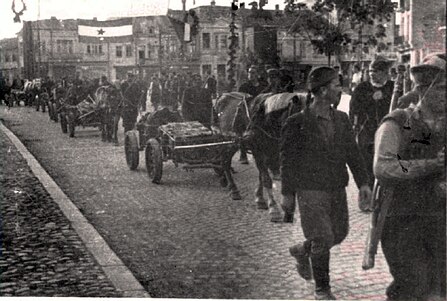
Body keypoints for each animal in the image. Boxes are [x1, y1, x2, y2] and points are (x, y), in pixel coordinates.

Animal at [214, 91, 306, 220]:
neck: (265, 120)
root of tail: (222, 96)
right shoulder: (258, 151)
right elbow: (266, 179)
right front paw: (273, 208)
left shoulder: (273, 152)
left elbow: (261, 176)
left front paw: (260, 199)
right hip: (227, 142)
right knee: (225, 161)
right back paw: (233, 189)